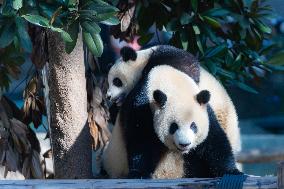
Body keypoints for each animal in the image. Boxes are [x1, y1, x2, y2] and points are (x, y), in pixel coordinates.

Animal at [103, 65, 241, 179]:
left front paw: (232, 172)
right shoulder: (141, 108)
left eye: (193, 126)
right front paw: (139, 174)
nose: (185, 144)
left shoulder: (205, 111)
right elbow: (140, 142)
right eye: (173, 126)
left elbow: (214, 141)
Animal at [106, 45, 240, 154]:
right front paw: (115, 106)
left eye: (116, 81)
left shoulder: (170, 57)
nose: (108, 96)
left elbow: (182, 65)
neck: (142, 60)